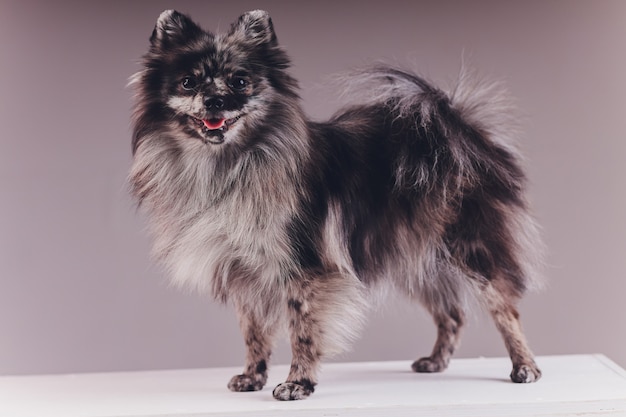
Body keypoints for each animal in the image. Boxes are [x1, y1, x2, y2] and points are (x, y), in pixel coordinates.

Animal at [128, 9, 540, 400]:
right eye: (189, 82)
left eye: (239, 81)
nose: (214, 101)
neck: (228, 165)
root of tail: (456, 127)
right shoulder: (245, 272)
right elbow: (254, 332)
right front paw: (252, 376)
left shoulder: (304, 269)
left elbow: (303, 331)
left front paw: (298, 383)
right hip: (417, 259)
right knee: (452, 314)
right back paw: (435, 362)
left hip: (469, 248)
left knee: (504, 307)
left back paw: (525, 366)